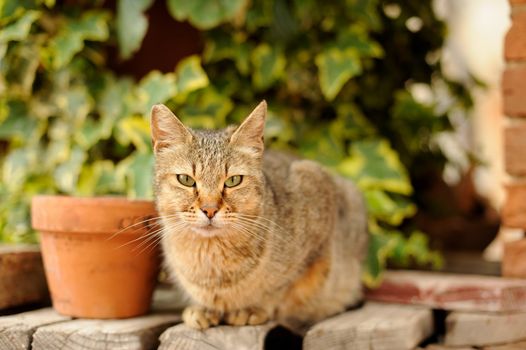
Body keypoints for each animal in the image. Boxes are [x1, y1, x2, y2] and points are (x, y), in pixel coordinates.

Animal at [151, 101, 370, 330]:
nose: (210, 209)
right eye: (185, 179)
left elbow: (281, 290)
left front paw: (253, 308)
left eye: (233, 180)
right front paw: (204, 308)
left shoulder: (315, 191)